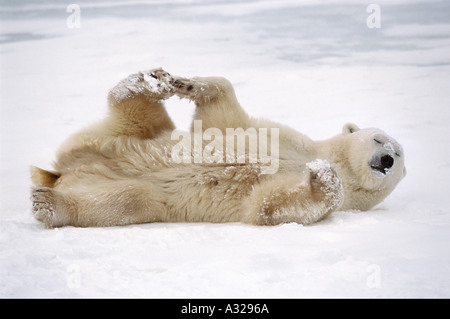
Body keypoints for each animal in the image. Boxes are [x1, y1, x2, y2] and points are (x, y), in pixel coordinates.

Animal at [29, 68, 406, 228]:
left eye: (399, 154)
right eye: (378, 139)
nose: (387, 159)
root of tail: (62, 171)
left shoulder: (348, 202)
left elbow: (270, 204)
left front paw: (322, 177)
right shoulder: (287, 136)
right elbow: (223, 116)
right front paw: (188, 84)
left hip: (133, 186)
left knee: (125, 199)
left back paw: (49, 204)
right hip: (113, 139)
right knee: (137, 117)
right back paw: (150, 81)